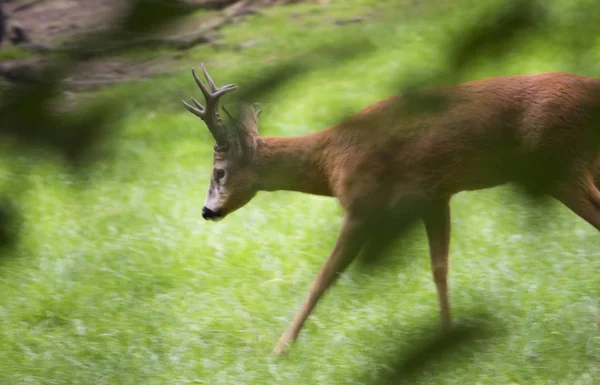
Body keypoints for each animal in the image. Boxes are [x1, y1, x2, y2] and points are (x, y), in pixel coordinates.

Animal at [182, 65, 600, 354]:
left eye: (219, 171)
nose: (206, 211)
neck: (329, 160)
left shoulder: (363, 205)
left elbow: (325, 277)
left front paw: (281, 348)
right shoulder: (434, 197)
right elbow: (439, 268)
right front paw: (447, 336)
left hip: (560, 164)